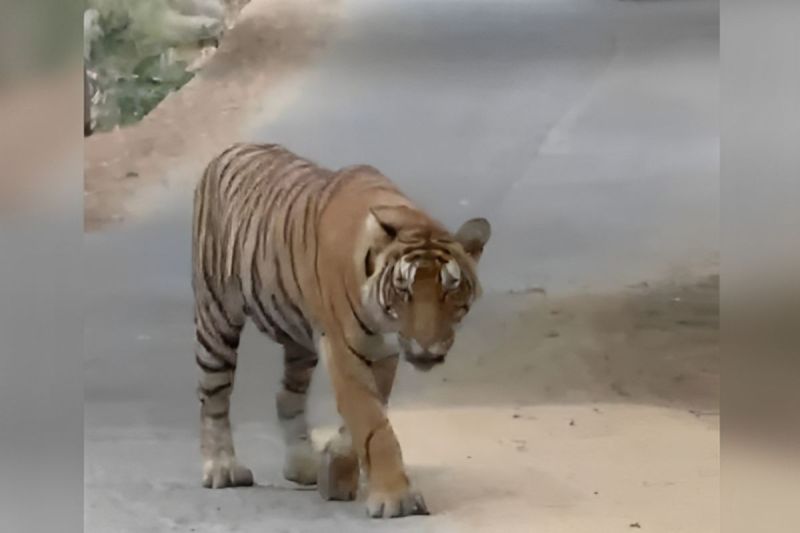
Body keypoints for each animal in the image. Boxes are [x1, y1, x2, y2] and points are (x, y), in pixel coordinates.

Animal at [192, 142, 491, 518]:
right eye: (404, 290)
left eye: (450, 290)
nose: (426, 347)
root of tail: (231, 149)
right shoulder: (345, 348)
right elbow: (373, 423)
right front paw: (395, 499)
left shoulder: (383, 352)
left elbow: (364, 417)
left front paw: (335, 469)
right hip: (216, 317)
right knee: (214, 396)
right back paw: (222, 468)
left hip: (299, 340)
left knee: (287, 395)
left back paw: (302, 465)